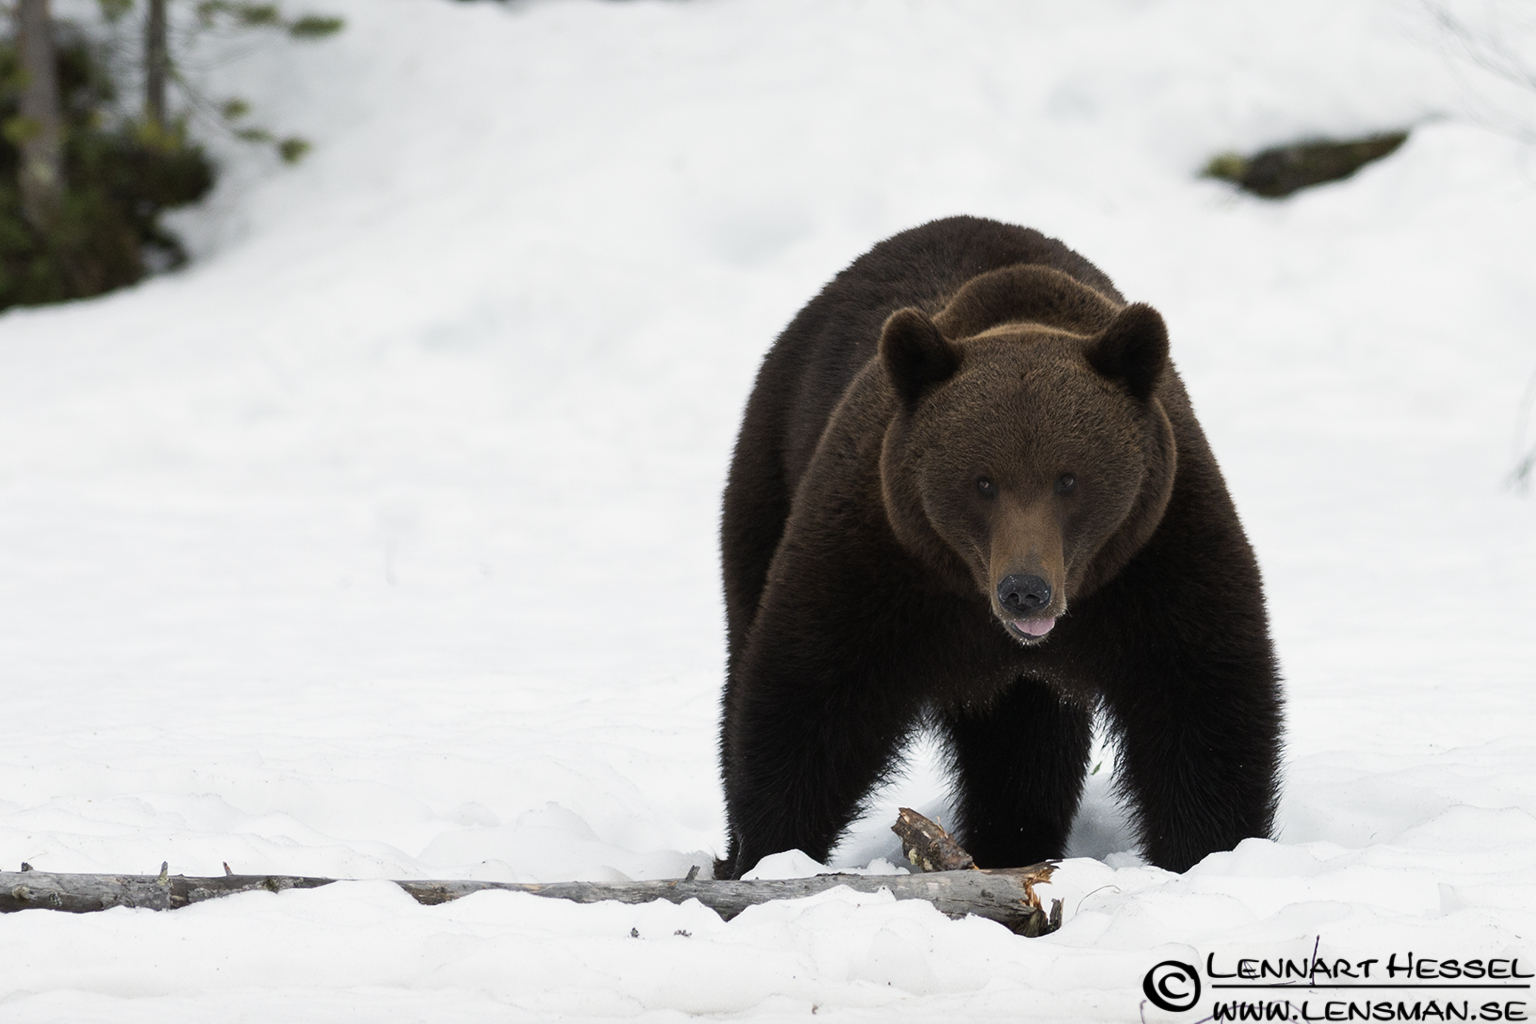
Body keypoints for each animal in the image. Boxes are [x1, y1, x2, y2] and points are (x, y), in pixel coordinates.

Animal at [716, 215, 1282, 879]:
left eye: (1069, 478)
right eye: (982, 481)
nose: (1024, 590)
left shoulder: (1158, 553)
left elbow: (1202, 703)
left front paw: (1208, 853)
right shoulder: (875, 555)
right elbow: (809, 700)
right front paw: (770, 857)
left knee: (1023, 746)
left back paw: (1013, 843)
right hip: (768, 477)